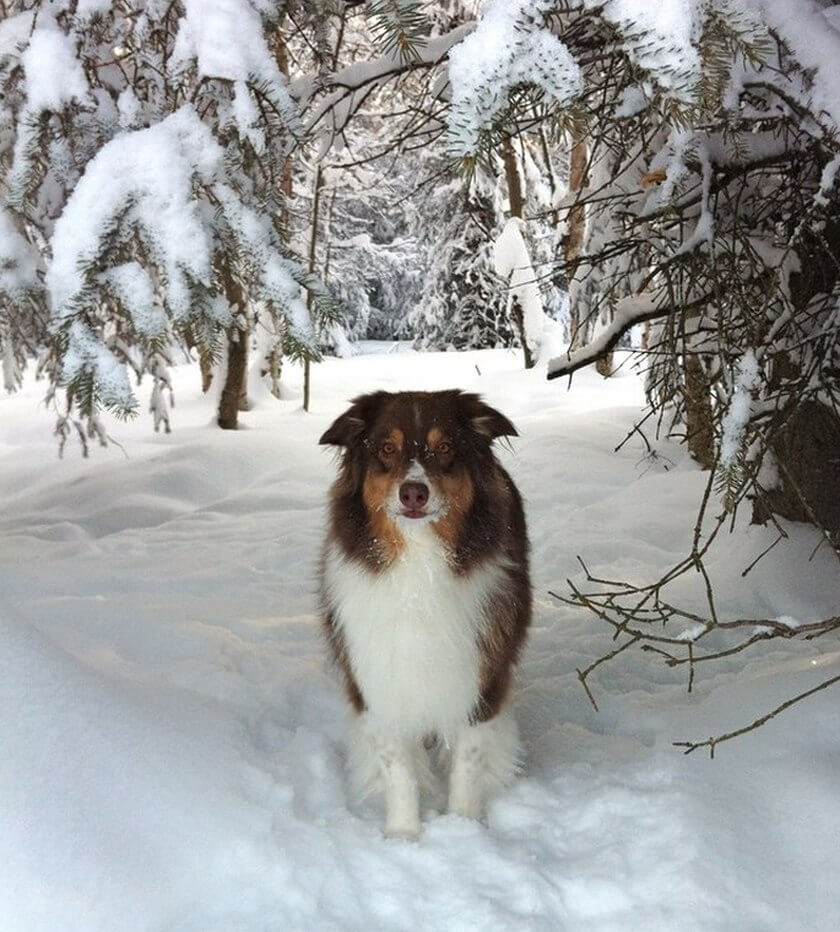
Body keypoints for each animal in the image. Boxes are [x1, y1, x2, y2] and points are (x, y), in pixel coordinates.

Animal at [318, 388, 528, 836]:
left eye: (445, 448)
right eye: (386, 449)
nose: (414, 492)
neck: (419, 561)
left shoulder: (480, 678)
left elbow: (467, 761)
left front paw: (463, 828)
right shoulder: (381, 681)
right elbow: (399, 770)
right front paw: (403, 836)